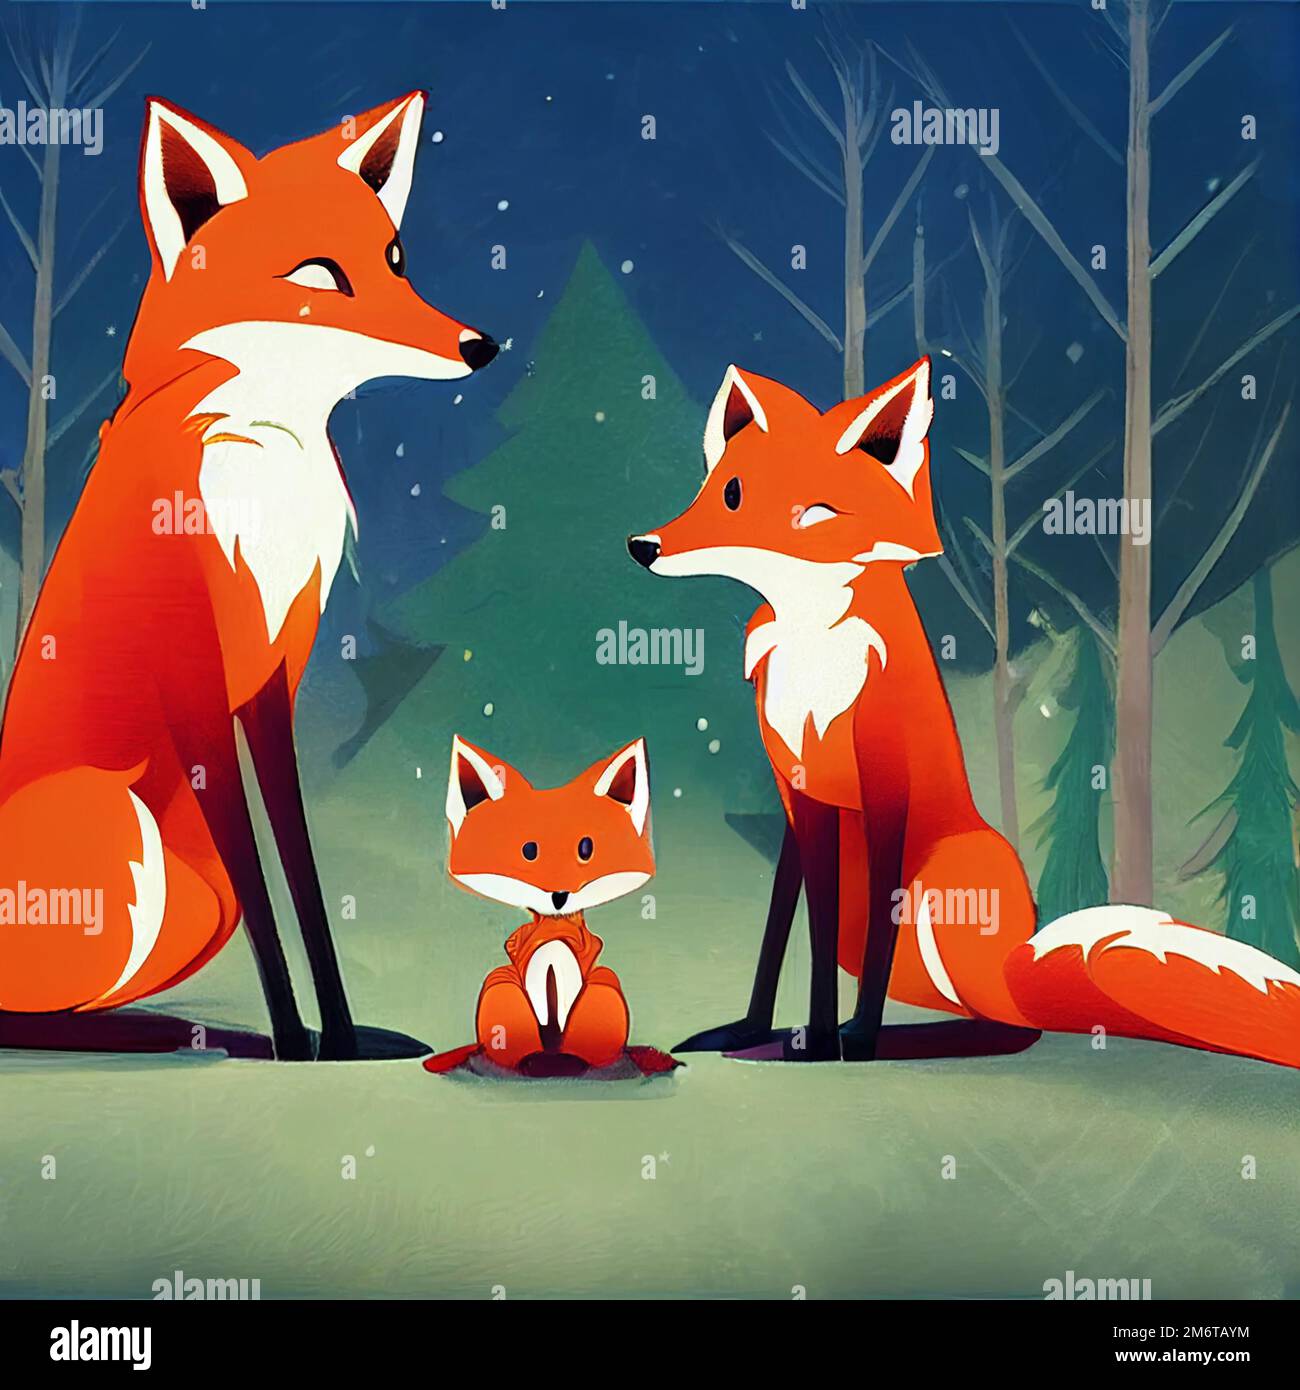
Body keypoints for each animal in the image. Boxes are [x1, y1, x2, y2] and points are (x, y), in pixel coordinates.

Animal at [0, 93, 497, 1060]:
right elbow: (265, 881)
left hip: (197, 900)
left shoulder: (272, 678)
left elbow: (299, 868)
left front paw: (338, 1038)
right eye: (320, 276)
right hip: (126, 835)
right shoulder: (193, 682)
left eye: (395, 260)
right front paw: (294, 1041)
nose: (480, 345)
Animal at [444, 736, 652, 1070]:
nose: (559, 895)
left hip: (604, 988)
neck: (554, 928)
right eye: (529, 851)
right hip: (499, 987)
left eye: (586, 848)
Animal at [629, 358, 1300, 1067]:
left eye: (811, 513)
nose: (644, 545)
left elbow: (857, 922)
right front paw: (759, 1031)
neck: (814, 653)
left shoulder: (885, 783)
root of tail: (1009, 971)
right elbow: (782, 923)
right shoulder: (799, 793)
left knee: (1008, 1026)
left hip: (947, 880)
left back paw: (906, 1036)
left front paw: (844, 1039)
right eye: (726, 491)